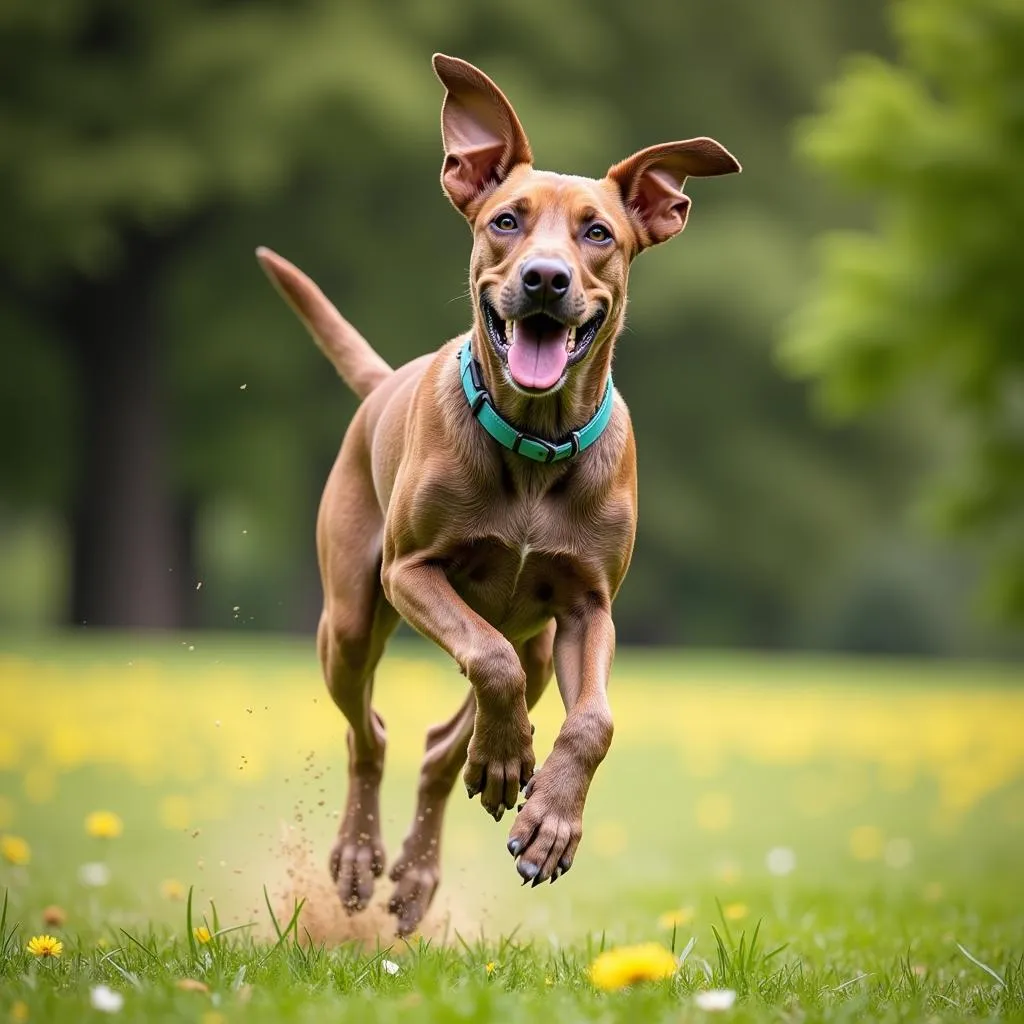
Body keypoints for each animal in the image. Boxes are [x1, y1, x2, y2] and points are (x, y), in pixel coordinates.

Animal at [254, 56, 737, 937]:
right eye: (506, 221)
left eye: (598, 233)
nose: (544, 279)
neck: (535, 445)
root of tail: (386, 383)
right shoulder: (411, 573)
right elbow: (486, 660)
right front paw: (512, 762)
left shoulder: (587, 606)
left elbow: (593, 719)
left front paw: (550, 823)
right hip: (349, 619)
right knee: (372, 734)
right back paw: (364, 856)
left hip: (542, 645)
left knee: (443, 746)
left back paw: (425, 865)